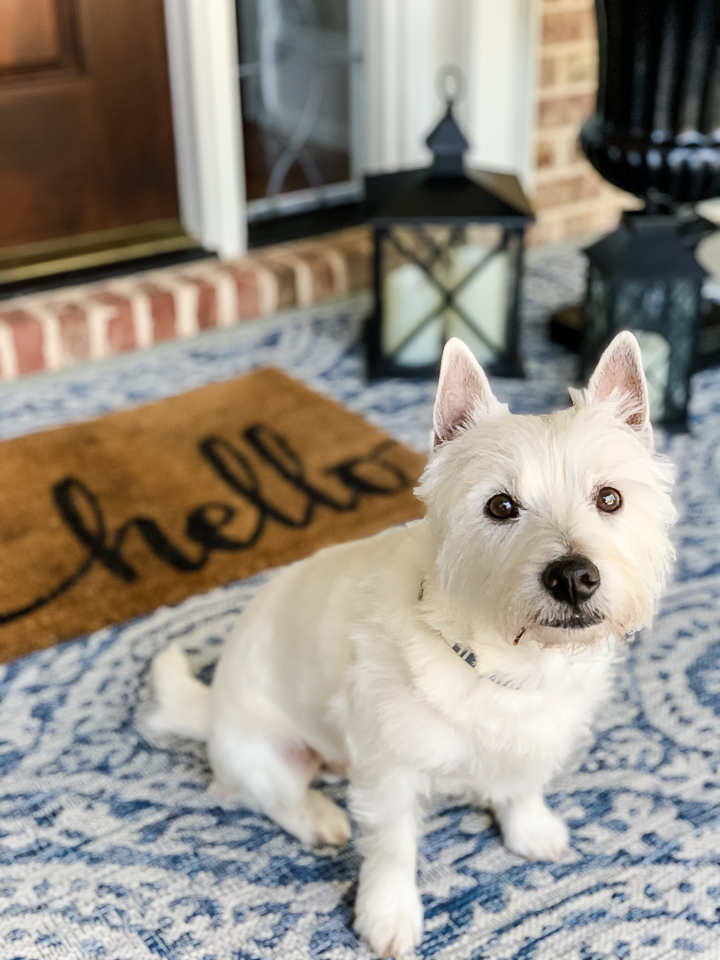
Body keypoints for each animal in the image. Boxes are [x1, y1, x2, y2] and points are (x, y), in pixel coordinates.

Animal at [150, 330, 676, 952]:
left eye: (610, 498)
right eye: (501, 505)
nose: (573, 576)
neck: (507, 660)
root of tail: (211, 710)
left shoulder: (538, 737)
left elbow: (522, 786)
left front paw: (531, 830)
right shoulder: (390, 774)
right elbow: (392, 848)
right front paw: (389, 915)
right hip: (265, 753)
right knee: (271, 795)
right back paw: (320, 817)